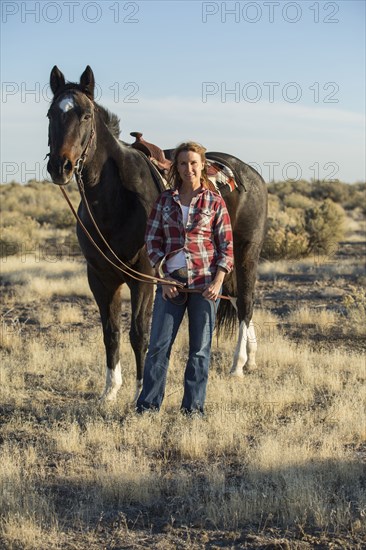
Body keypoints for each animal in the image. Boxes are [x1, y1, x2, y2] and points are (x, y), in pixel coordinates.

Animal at [47, 67, 268, 406]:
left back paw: (238, 365)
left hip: (246, 253)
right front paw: (109, 391)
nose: (60, 166)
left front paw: (139, 389)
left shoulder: (143, 276)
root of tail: (250, 174)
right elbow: (110, 332)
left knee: (245, 302)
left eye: (85, 115)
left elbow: (139, 332)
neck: (115, 199)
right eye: (50, 114)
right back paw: (251, 358)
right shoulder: (99, 278)